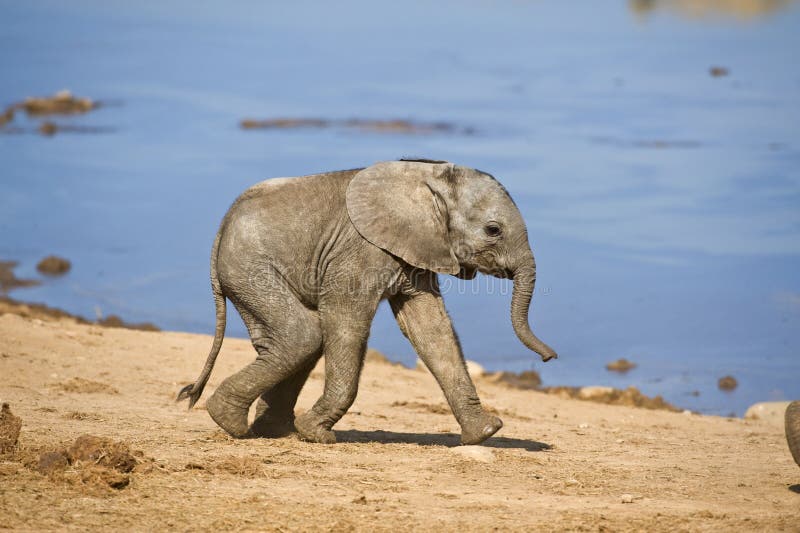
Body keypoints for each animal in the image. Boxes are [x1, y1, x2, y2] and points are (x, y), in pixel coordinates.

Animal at [180, 159, 556, 444]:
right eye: (493, 230)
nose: (550, 357)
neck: (427, 178)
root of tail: (222, 228)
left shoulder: (417, 249)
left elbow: (431, 330)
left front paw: (485, 432)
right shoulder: (360, 250)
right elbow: (347, 318)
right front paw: (318, 435)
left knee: (291, 343)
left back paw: (268, 430)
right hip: (250, 269)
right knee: (303, 335)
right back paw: (231, 422)